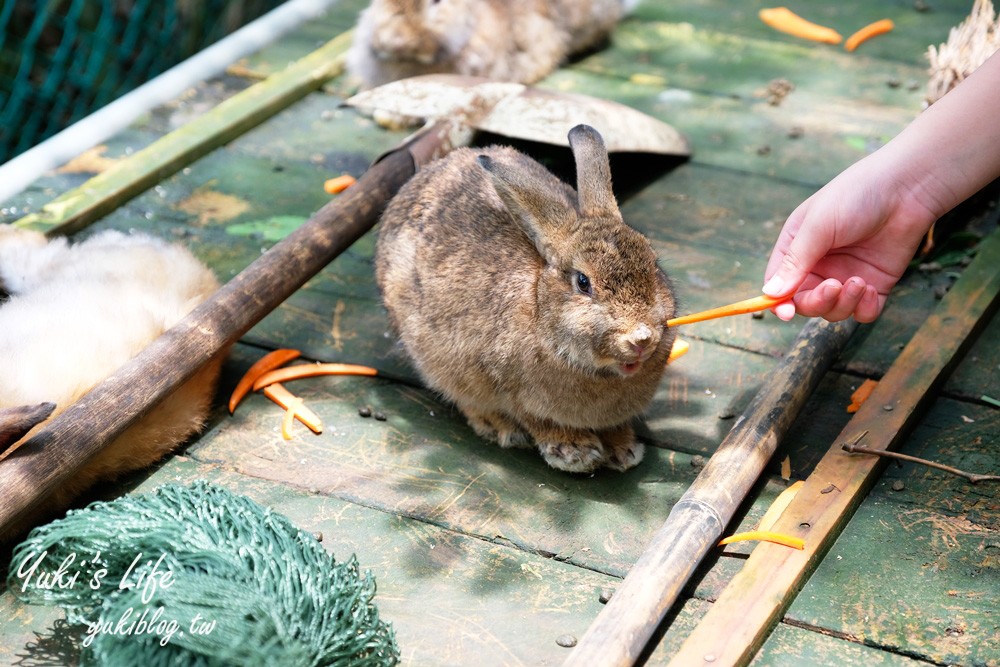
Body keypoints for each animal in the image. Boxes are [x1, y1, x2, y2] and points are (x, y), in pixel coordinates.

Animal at [376, 125, 680, 474]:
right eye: (583, 282)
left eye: (653, 264)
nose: (641, 339)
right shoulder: (506, 386)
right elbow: (533, 418)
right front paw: (575, 452)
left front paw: (623, 449)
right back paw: (496, 426)